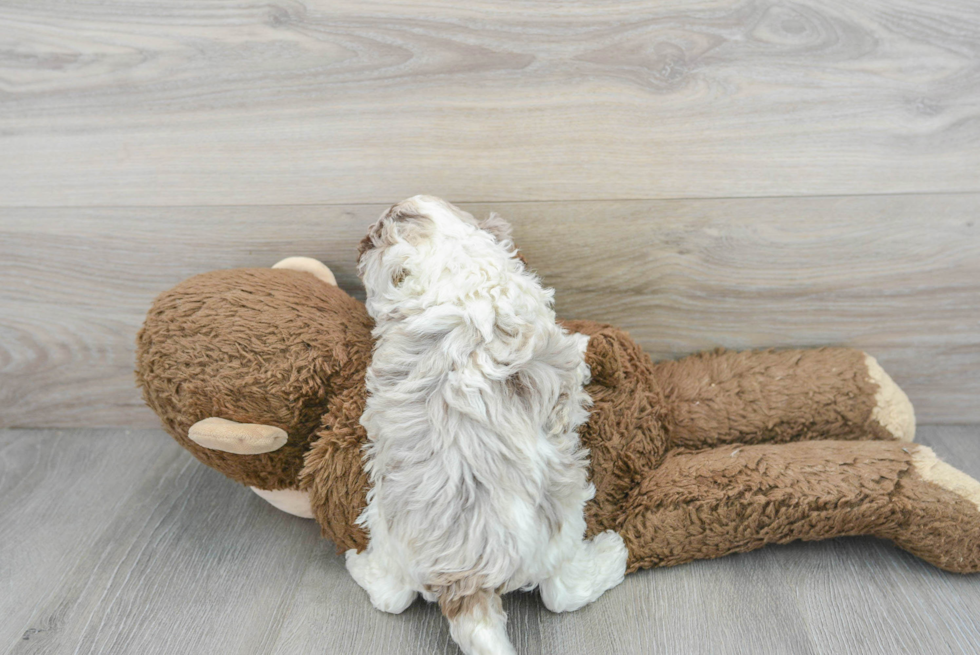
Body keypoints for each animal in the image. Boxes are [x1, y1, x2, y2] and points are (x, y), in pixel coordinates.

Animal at [352, 196, 628, 655]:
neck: (449, 259)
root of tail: (466, 581)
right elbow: (575, 363)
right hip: (562, 528)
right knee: (563, 592)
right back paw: (612, 555)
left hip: (385, 525)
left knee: (392, 595)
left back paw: (361, 567)